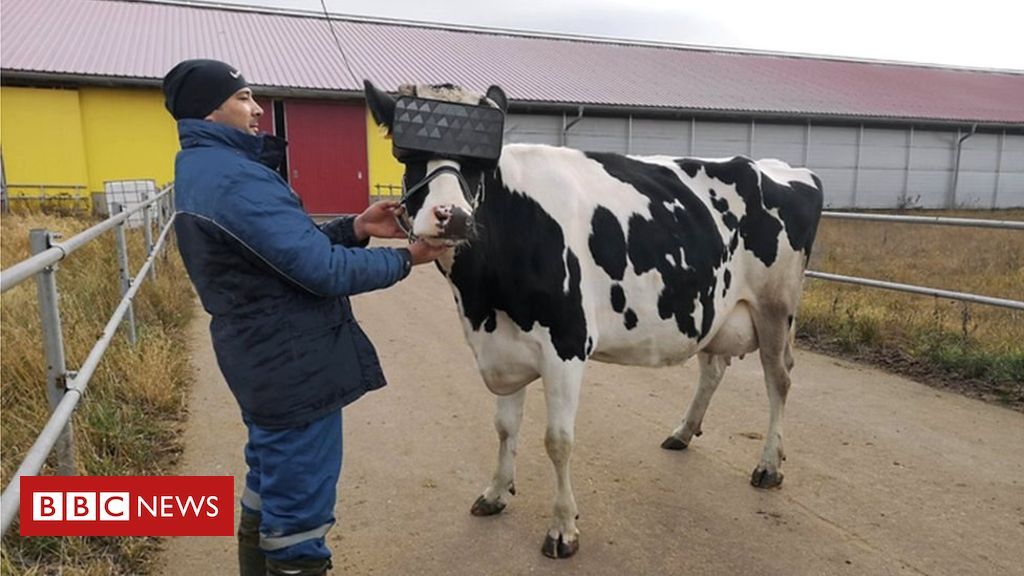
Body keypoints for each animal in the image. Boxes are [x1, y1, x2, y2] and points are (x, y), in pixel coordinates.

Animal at [364, 80, 827, 557]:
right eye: (408, 156)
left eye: (481, 165)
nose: (451, 216)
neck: (482, 300)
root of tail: (782, 168)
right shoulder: (502, 347)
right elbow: (505, 428)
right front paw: (495, 493)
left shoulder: (566, 344)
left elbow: (558, 440)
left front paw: (563, 528)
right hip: (713, 306)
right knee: (714, 367)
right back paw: (683, 432)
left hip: (776, 307)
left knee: (779, 379)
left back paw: (769, 466)